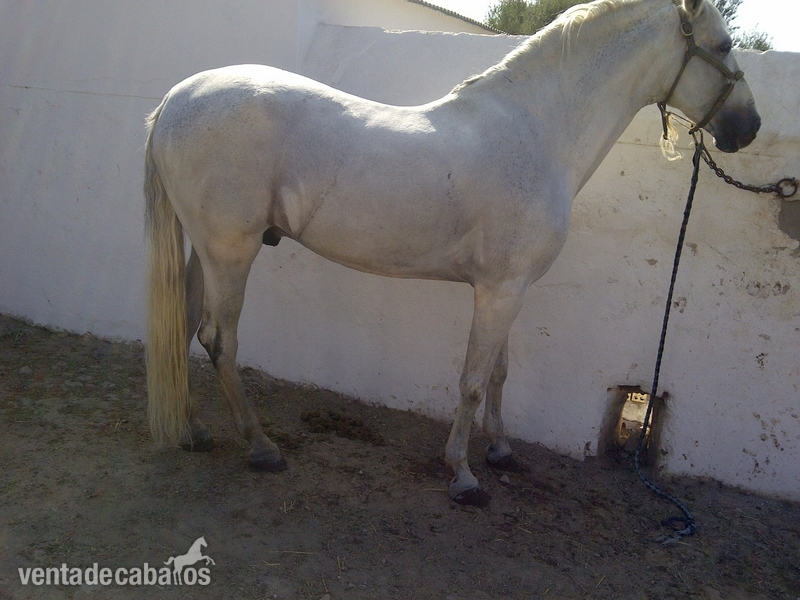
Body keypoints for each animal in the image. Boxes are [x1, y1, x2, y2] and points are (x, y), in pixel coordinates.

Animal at [144, 0, 760, 506]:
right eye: (723, 45)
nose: (750, 127)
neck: (538, 132)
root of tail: (175, 99)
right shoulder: (498, 292)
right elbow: (471, 380)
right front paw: (463, 476)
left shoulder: (510, 289)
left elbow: (499, 373)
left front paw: (501, 451)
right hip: (231, 253)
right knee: (220, 341)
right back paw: (261, 446)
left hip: (205, 251)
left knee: (186, 329)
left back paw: (194, 431)